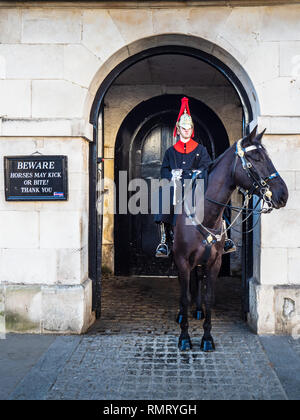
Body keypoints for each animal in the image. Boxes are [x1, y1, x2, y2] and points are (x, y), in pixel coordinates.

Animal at [172, 125, 290, 352]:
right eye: (256, 158)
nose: (283, 194)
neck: (207, 215)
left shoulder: (215, 262)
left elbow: (209, 297)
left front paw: (207, 338)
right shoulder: (182, 260)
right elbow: (182, 297)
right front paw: (184, 337)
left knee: (198, 280)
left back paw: (197, 310)